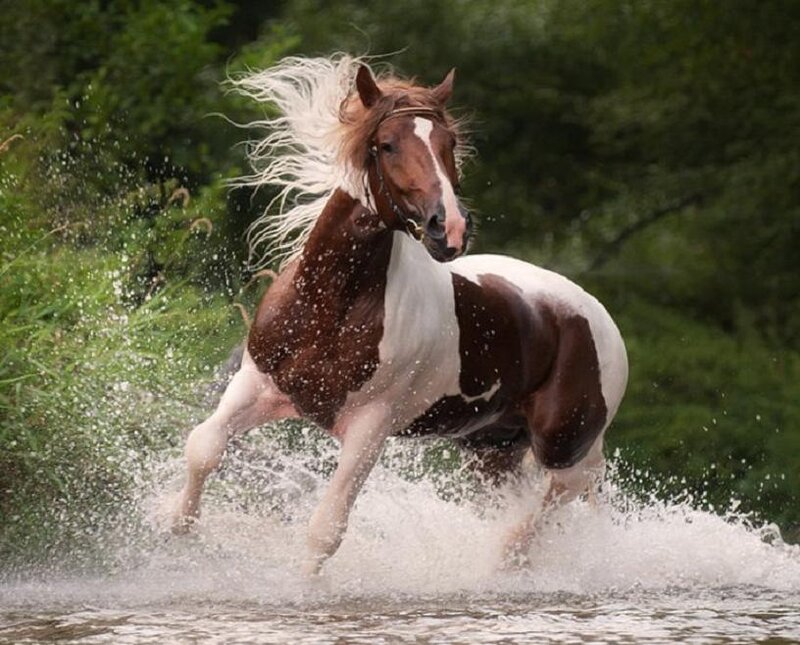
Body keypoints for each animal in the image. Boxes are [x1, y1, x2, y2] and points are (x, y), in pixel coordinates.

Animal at [172, 56, 628, 575]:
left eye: (449, 144)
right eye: (386, 145)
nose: (449, 228)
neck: (331, 307)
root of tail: (598, 317)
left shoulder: (370, 426)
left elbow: (325, 529)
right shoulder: (258, 384)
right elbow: (203, 448)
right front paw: (172, 535)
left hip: (565, 445)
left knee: (557, 498)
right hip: (491, 449)